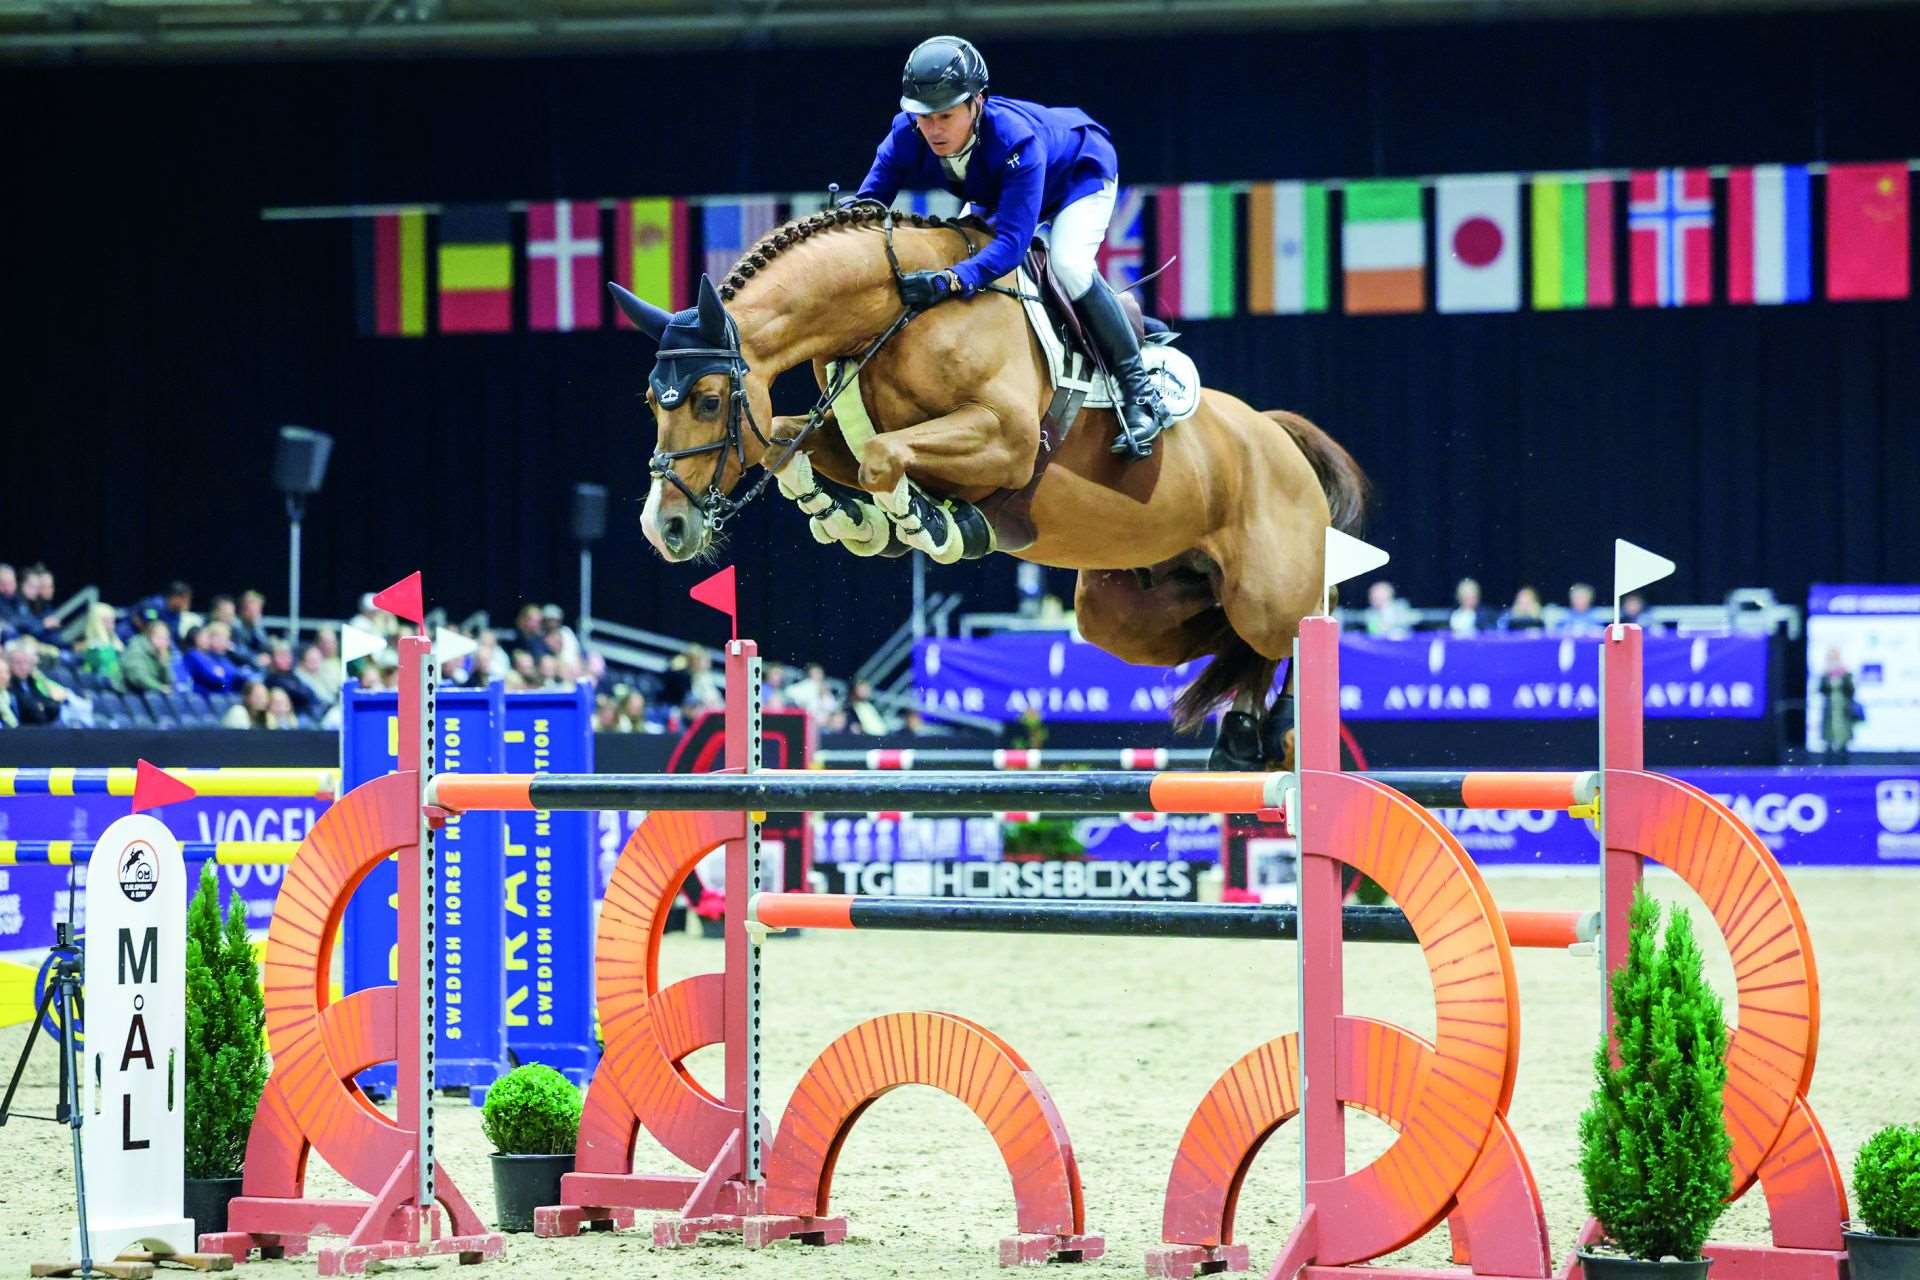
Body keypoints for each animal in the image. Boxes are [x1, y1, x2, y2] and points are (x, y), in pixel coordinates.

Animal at [610, 205, 1369, 767]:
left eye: (708, 400)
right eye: (650, 402)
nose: (664, 527)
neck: (898, 310)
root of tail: (1275, 436)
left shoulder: (1005, 441)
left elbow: (884, 459)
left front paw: (930, 524)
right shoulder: (838, 431)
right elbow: (794, 446)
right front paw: (853, 520)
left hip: (1268, 589)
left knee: (1301, 623)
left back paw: (1275, 735)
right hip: (1125, 613)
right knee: (1226, 638)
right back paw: (1241, 735)